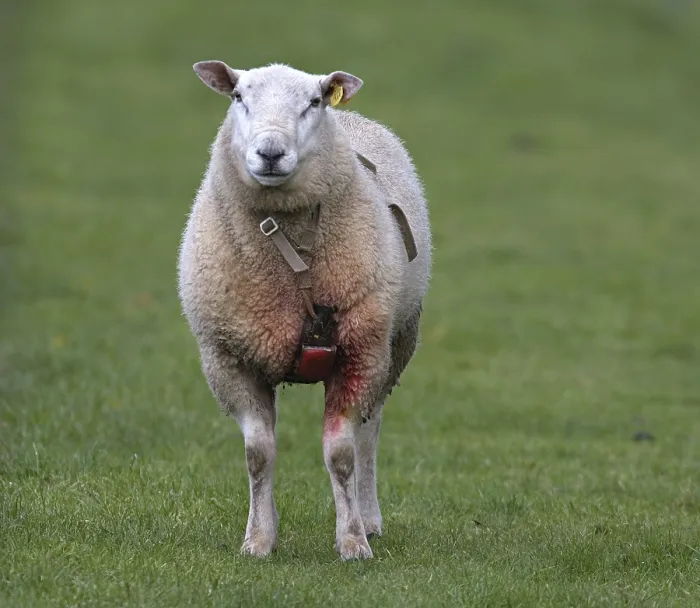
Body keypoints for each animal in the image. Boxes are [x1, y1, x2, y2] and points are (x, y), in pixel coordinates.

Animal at [177, 61, 431, 560]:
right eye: (238, 96)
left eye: (313, 102)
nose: (271, 153)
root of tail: (354, 117)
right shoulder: (228, 357)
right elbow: (258, 454)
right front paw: (259, 539)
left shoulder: (358, 353)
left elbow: (342, 454)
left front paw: (352, 541)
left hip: (396, 343)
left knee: (369, 432)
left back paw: (369, 518)